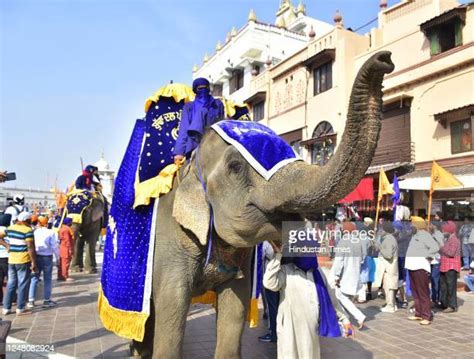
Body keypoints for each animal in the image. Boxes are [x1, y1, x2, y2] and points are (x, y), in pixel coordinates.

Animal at [131, 51, 394, 359]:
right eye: (235, 167)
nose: (385, 58)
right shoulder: (170, 240)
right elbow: (172, 304)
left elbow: (236, 304)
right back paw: (138, 351)